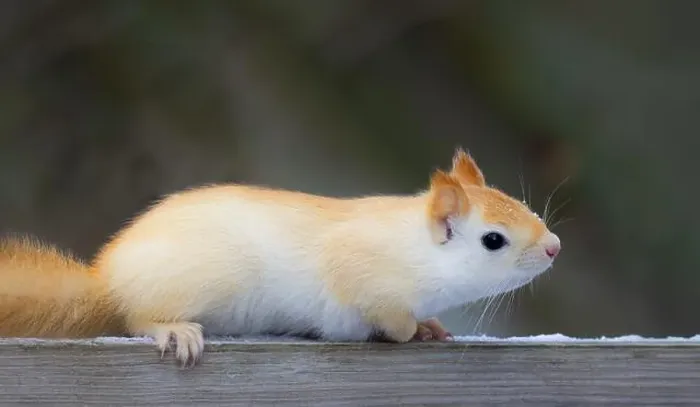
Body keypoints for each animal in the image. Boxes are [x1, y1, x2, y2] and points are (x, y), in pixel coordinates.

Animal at [0, 148, 561, 367]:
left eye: (520, 203)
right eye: (493, 240)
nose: (554, 247)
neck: (413, 247)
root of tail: (107, 278)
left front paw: (430, 327)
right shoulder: (360, 274)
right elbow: (387, 316)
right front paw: (409, 330)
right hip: (190, 286)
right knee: (137, 317)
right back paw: (172, 330)